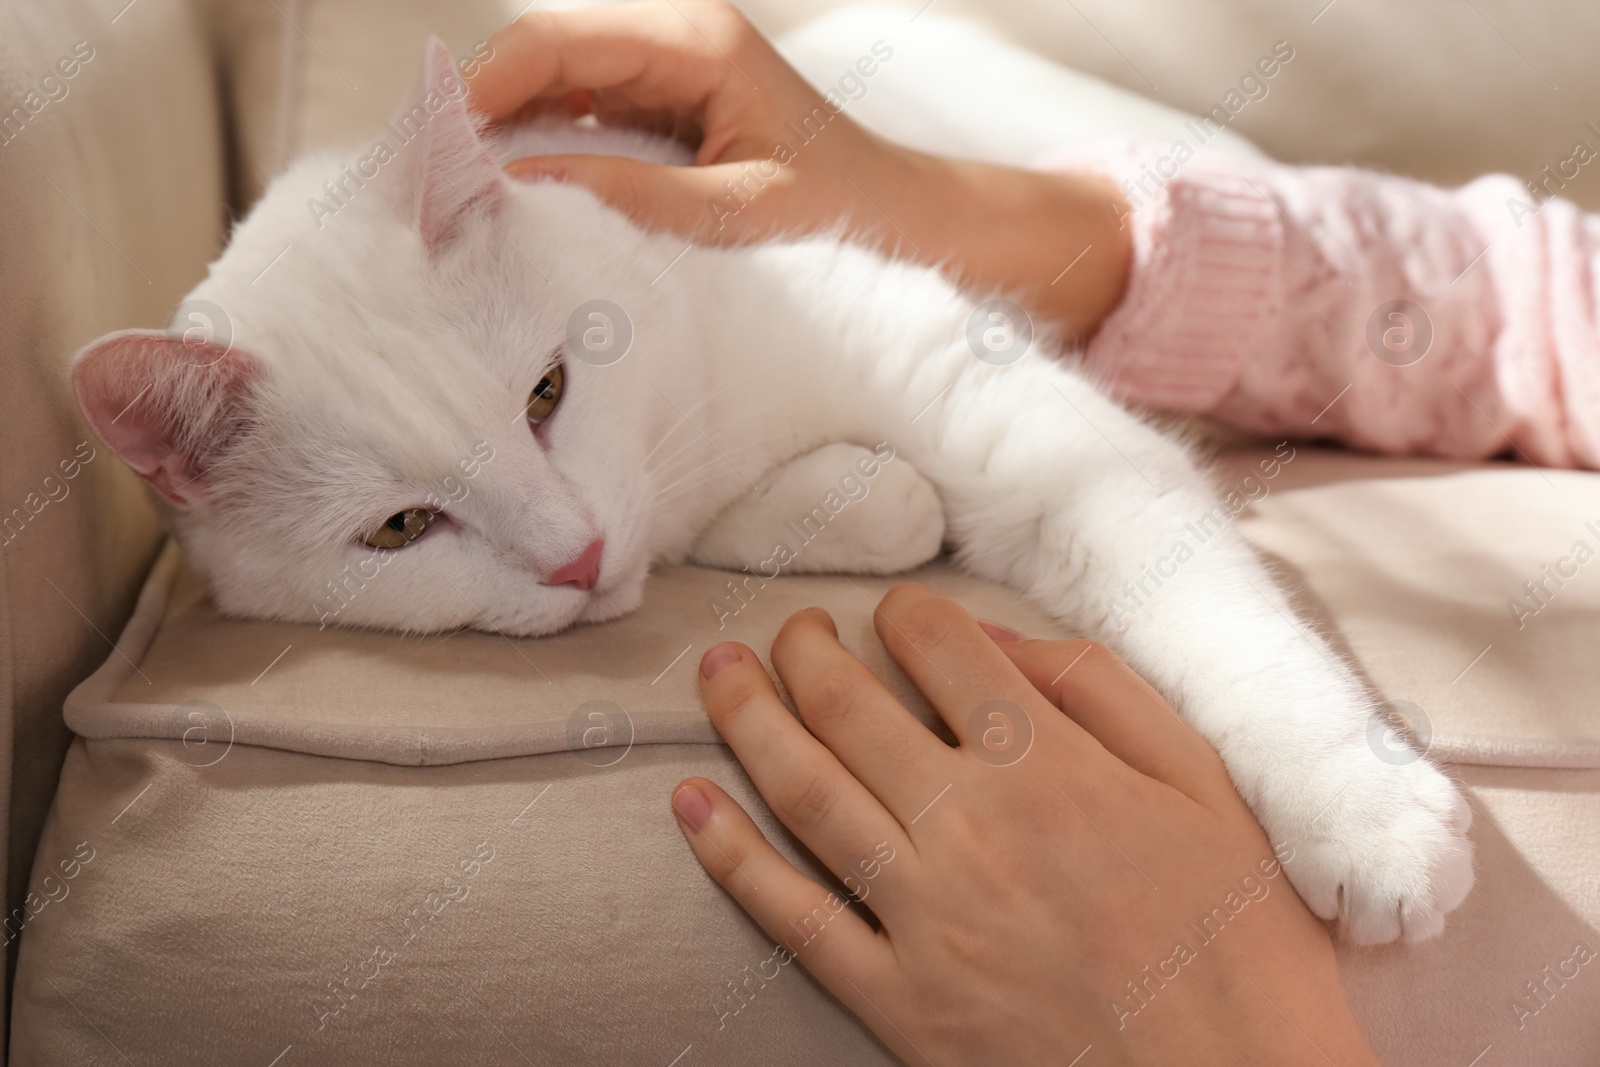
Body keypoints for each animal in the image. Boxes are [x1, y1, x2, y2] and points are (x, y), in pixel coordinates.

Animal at [78, 39, 1472, 940]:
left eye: (546, 392)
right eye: (401, 529)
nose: (575, 557)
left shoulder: (1001, 408)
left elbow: (1223, 618)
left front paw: (1361, 809)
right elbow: (828, 508)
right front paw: (863, 500)